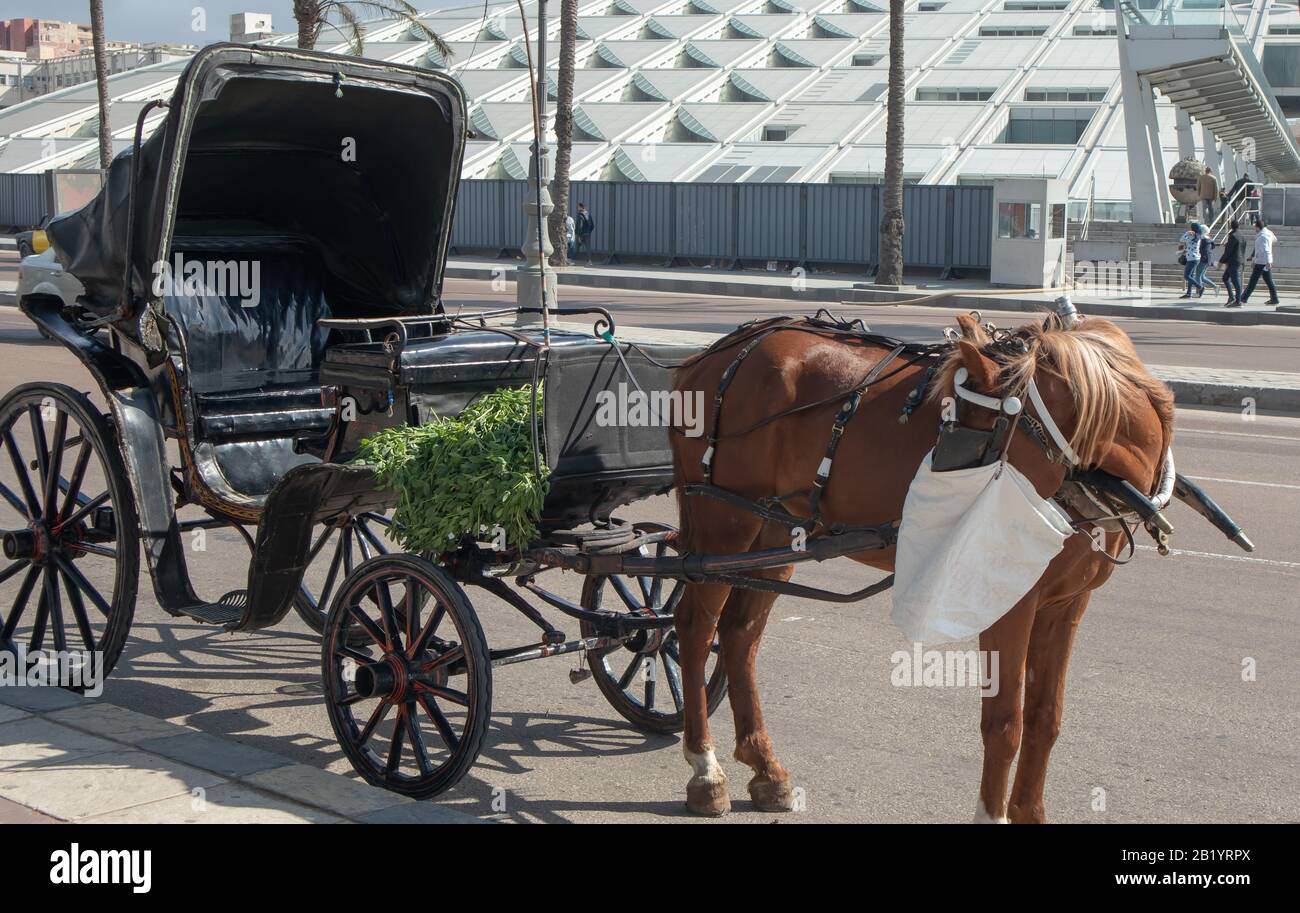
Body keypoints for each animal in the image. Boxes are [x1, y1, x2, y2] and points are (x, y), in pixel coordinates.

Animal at [676, 313, 1175, 821]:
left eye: (970, 442)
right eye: (951, 431)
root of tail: (713, 354)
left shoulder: (1067, 605)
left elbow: (1044, 719)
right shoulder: (1008, 604)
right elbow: (1004, 724)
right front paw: (991, 811)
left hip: (776, 531)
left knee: (739, 634)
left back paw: (765, 767)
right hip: (724, 523)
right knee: (694, 628)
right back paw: (705, 769)